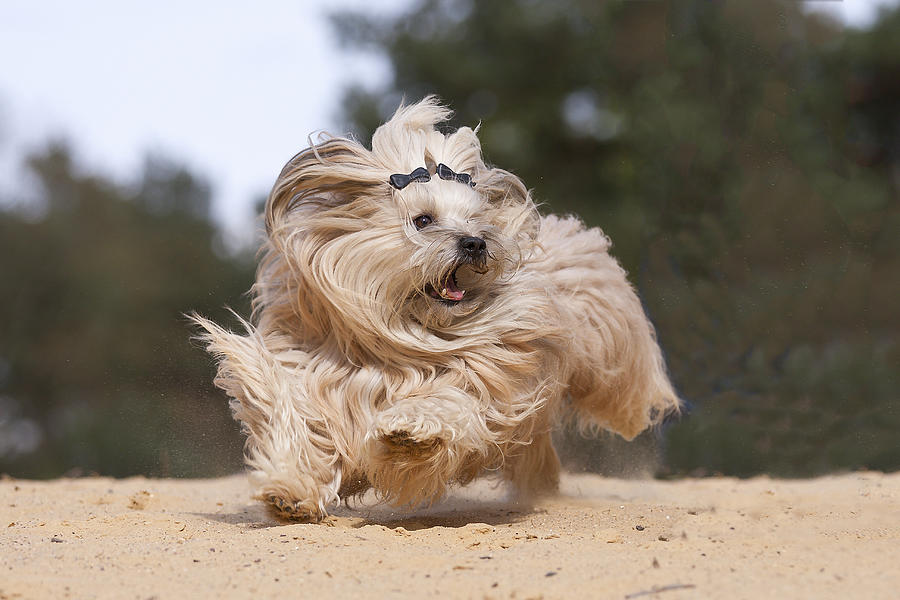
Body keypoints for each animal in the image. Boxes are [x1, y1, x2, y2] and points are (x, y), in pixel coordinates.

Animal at [193, 97, 680, 520]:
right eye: (423, 220)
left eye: (477, 222)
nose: (475, 242)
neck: (398, 339)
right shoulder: (307, 373)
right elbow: (297, 420)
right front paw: (289, 492)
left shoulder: (486, 370)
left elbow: (449, 399)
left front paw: (408, 432)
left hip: (607, 341)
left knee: (620, 386)